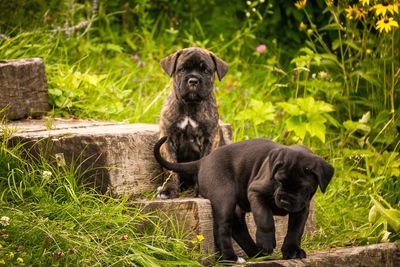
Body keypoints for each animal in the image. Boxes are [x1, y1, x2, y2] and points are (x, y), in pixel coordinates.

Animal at [154, 137, 334, 262]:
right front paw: (266, 242)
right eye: (278, 181)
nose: (284, 201)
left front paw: (292, 251)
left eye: (302, 188)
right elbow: (265, 220)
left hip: (234, 207)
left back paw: (258, 255)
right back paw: (231, 258)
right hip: (224, 197)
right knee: (222, 228)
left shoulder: (301, 208)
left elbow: (295, 231)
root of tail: (203, 160)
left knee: (238, 229)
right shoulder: (256, 192)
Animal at [158, 47, 228, 199]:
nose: (193, 80)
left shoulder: (209, 140)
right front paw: (169, 189)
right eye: (182, 69)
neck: (190, 106)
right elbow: (170, 168)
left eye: (206, 70)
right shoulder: (168, 139)